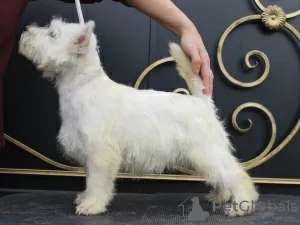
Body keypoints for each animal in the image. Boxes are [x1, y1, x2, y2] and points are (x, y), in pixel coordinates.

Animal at [18, 18, 258, 216]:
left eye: (52, 34)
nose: (26, 31)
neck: (83, 86)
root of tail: (202, 101)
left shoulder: (100, 152)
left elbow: (97, 182)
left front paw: (92, 205)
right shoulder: (89, 151)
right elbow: (89, 179)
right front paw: (85, 198)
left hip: (206, 151)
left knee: (235, 174)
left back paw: (242, 205)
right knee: (222, 175)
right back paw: (220, 196)